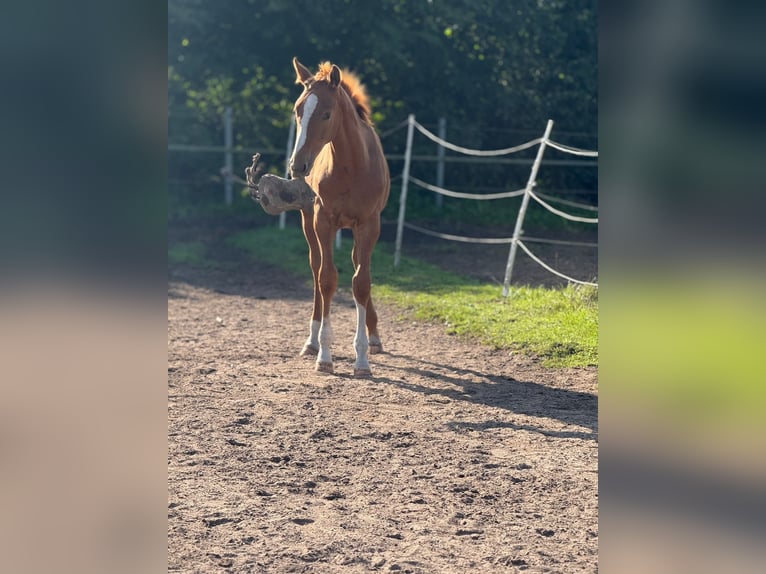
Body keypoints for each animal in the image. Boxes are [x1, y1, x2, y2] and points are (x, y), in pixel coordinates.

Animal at [287, 58, 390, 377]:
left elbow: (361, 283)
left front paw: (362, 359)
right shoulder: (323, 220)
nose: (297, 166)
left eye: (326, 114)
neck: (351, 167)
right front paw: (324, 355)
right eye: (298, 110)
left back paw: (374, 337)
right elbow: (327, 278)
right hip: (308, 222)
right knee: (316, 267)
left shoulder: (369, 224)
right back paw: (311, 342)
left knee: (359, 266)